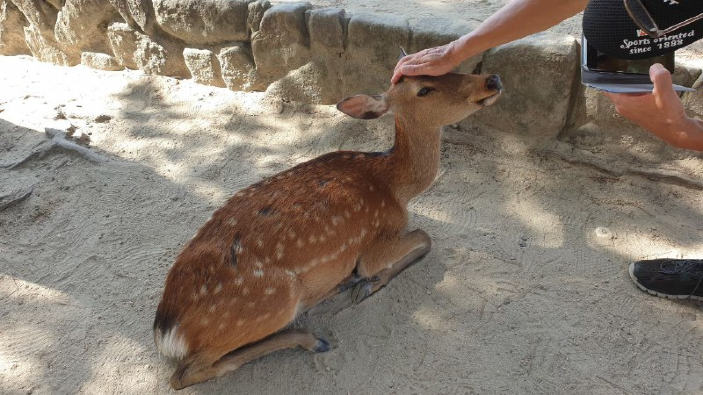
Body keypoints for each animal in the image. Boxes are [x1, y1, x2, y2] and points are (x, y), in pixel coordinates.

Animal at [156, 54, 504, 392]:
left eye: (449, 69)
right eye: (424, 90)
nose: (492, 79)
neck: (395, 187)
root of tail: (167, 330)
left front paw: (361, 282)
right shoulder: (376, 243)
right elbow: (424, 237)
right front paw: (368, 283)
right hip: (272, 301)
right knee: (188, 373)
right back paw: (314, 337)